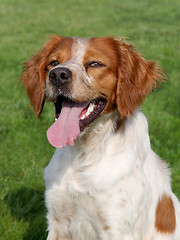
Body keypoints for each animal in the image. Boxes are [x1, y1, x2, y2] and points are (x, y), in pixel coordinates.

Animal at [21, 35, 180, 240]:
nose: (58, 75)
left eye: (95, 64)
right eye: (53, 63)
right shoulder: (58, 222)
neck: (84, 154)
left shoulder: (116, 228)